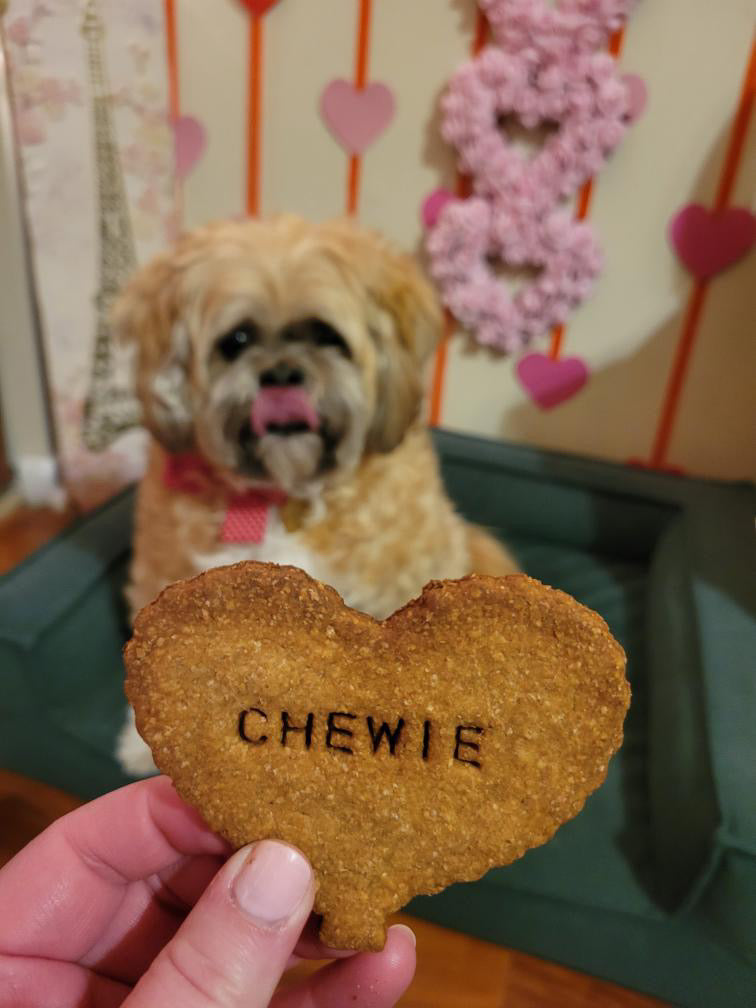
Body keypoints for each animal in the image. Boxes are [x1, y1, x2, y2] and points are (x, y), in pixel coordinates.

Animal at [115, 216, 520, 774]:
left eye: (327, 337)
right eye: (237, 340)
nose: (281, 374)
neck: (284, 495)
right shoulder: (168, 572)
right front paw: (139, 745)